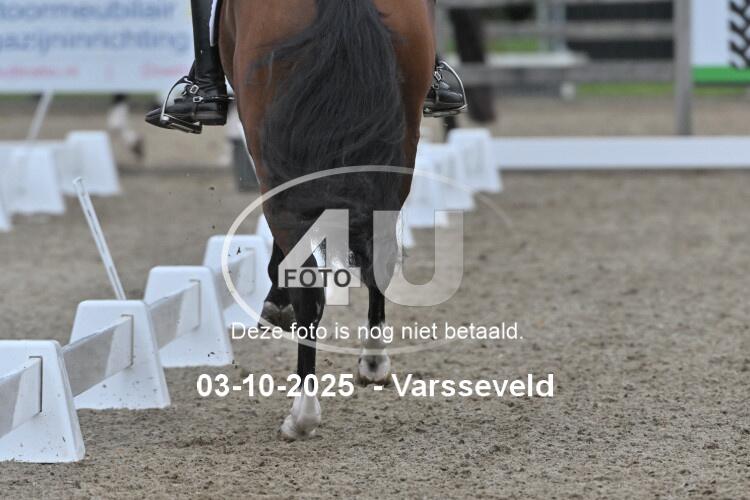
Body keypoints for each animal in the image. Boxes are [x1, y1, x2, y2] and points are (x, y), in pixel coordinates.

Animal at [218, 0, 435, 440]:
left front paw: (276, 305)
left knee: (308, 285)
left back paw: (302, 415)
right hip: (401, 142)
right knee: (381, 259)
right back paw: (374, 362)